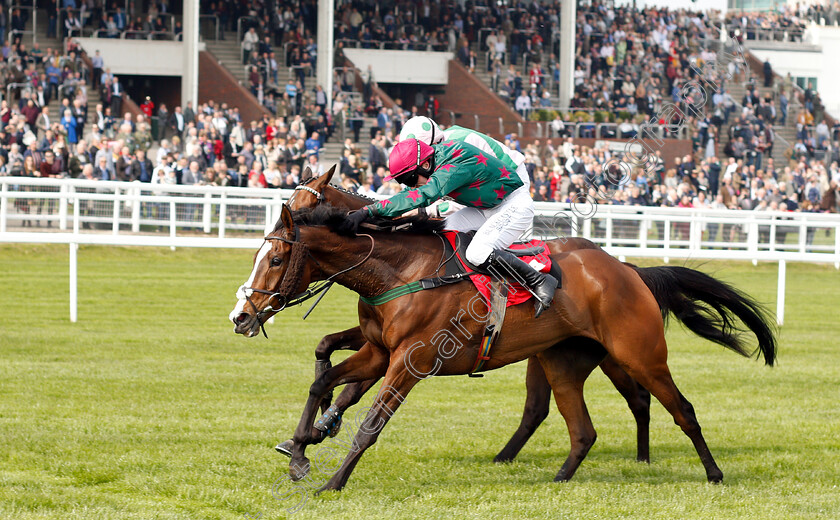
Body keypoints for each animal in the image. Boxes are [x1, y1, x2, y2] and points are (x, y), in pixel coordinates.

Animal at [230, 200, 776, 492]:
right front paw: (301, 450)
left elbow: (368, 424)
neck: (401, 272)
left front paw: (332, 482)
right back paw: (558, 478)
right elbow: (325, 377)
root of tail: (628, 270)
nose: (241, 317)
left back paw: (714, 473)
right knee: (581, 429)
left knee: (680, 408)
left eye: (275, 258)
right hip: (563, 362)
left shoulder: (409, 361)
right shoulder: (379, 352)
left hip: (639, 355)